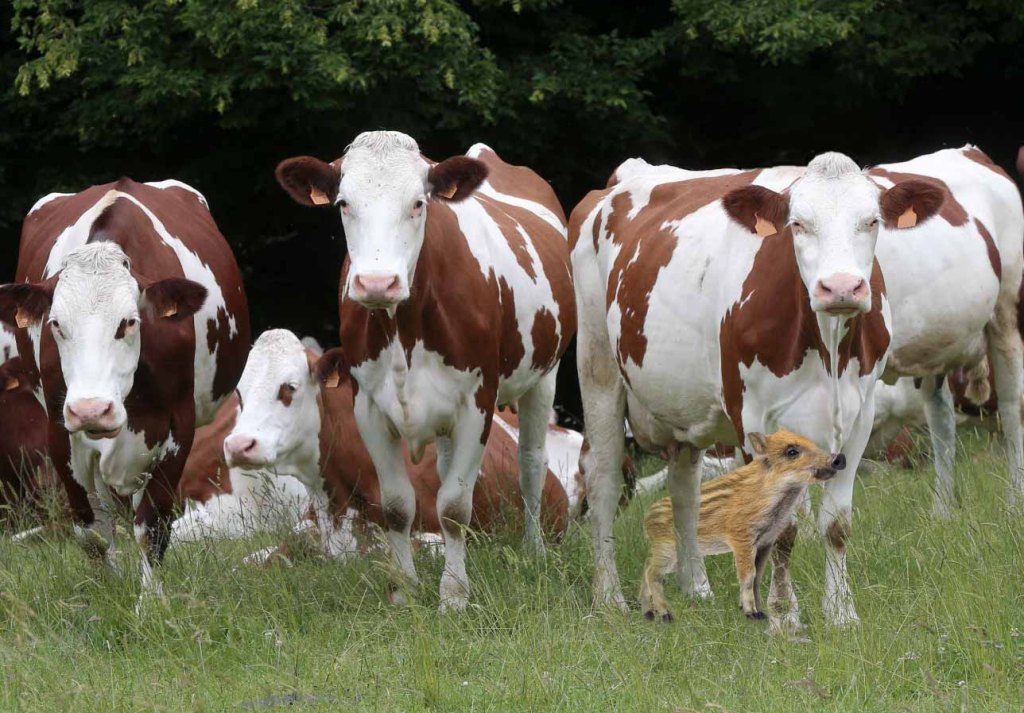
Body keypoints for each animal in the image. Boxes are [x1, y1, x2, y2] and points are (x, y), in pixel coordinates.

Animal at [0, 179, 250, 605]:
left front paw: (149, 602)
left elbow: (152, 524)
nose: (91, 410)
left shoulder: (178, 427)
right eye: (56, 324)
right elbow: (91, 532)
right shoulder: (59, 430)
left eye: (129, 322)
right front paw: (107, 591)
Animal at [274, 131, 575, 610]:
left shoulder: (477, 404)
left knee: (531, 462)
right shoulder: (368, 407)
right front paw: (405, 589)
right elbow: (399, 505)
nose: (377, 283)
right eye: (343, 203)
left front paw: (453, 595)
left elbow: (453, 507)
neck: (403, 328)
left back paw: (534, 551)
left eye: (418, 203)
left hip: (545, 376)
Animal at [571, 152, 942, 631]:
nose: (841, 287)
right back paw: (610, 597)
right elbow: (781, 527)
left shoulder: (861, 415)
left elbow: (837, 523)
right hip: (597, 367)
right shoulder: (751, 416)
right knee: (602, 481)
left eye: (872, 220)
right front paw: (784, 615)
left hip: (685, 406)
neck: (827, 349)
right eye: (798, 224)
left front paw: (842, 614)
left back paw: (696, 586)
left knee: (685, 487)